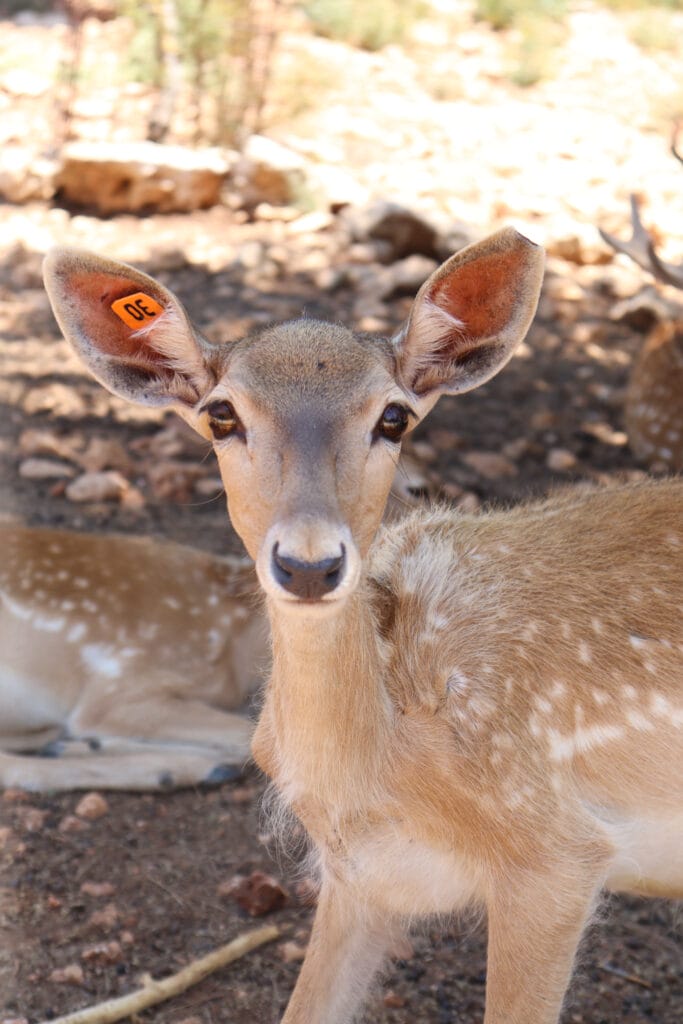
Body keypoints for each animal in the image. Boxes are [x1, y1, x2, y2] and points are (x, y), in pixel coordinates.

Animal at [44, 232, 683, 1024]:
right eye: (222, 415)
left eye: (394, 418)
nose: (309, 563)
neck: (371, 773)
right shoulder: (358, 875)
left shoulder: (556, 853)